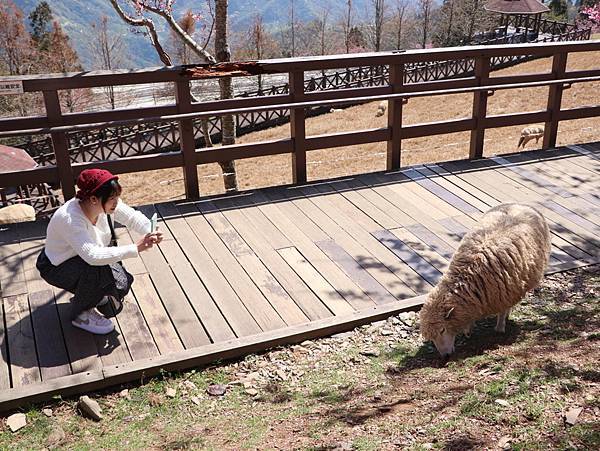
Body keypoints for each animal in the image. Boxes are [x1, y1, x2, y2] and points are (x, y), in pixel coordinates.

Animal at [420, 204, 552, 356]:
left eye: (442, 330)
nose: (445, 356)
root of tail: (522, 204)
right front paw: (468, 330)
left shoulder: (506, 290)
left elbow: (502, 311)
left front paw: (500, 327)